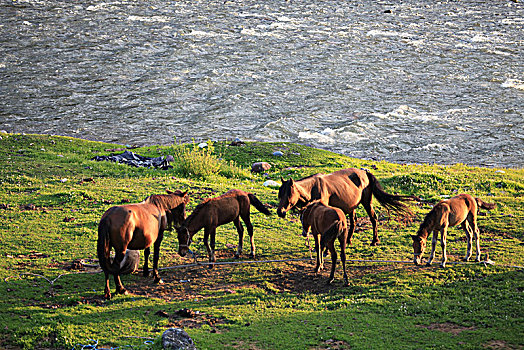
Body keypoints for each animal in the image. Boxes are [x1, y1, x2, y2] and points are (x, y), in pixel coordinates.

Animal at [276, 167, 416, 245]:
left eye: (288, 194)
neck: (312, 189)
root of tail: (365, 173)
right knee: (354, 221)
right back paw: (348, 240)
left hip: (366, 202)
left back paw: (374, 241)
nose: (280, 212)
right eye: (280, 194)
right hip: (352, 207)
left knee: (373, 218)